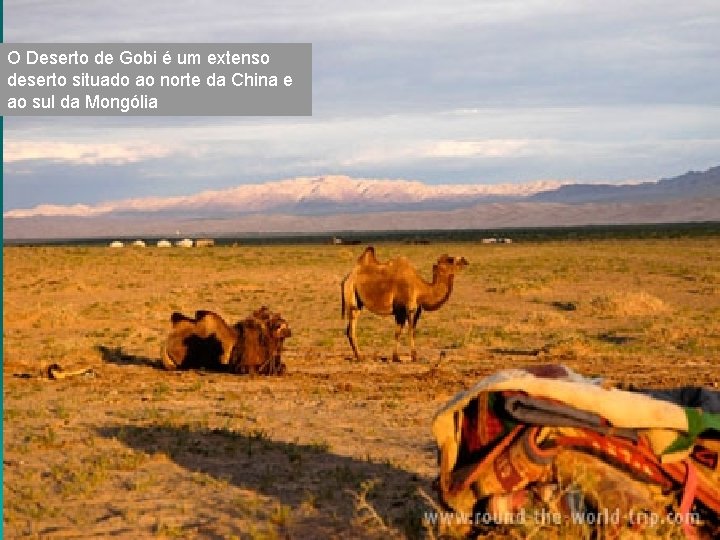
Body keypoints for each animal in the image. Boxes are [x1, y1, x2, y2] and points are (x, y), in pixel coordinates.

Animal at [342, 247, 470, 360]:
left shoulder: (409, 310)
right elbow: (410, 331)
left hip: (358, 302)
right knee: (352, 326)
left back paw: (358, 355)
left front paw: (396, 357)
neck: (421, 289)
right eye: (450, 260)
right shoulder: (407, 308)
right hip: (351, 293)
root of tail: (348, 277)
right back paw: (359, 356)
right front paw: (414, 356)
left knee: (349, 328)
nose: (465, 260)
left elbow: (399, 332)